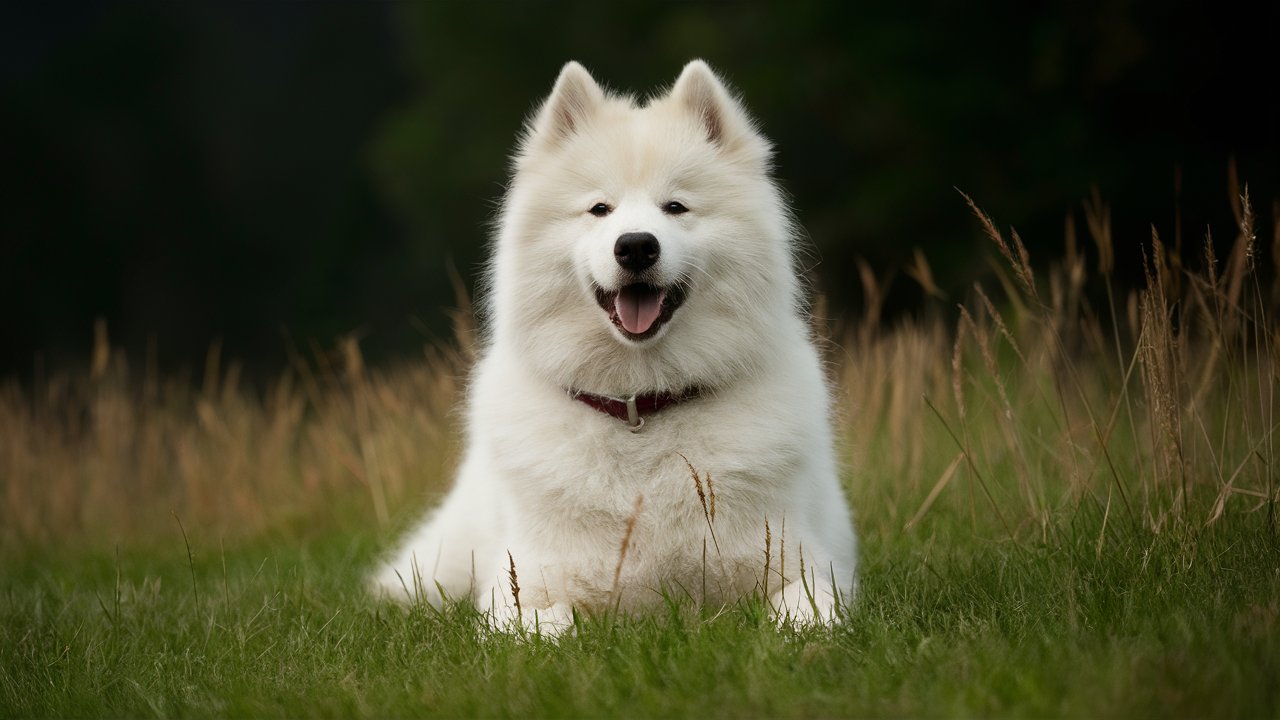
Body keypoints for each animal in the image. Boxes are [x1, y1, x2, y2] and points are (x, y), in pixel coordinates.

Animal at [366, 61, 855, 630]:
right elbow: (553, 626)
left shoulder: (803, 564)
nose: (637, 245)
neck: (640, 406)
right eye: (600, 209)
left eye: (676, 207)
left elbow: (806, 614)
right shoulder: (520, 590)